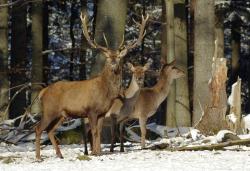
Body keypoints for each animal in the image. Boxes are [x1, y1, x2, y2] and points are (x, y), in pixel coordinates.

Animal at [35, 13, 148, 160]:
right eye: (107, 57)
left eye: (118, 57)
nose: (113, 63)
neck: (105, 91)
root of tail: (43, 91)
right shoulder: (91, 110)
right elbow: (94, 131)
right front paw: (95, 152)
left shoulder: (102, 112)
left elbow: (98, 131)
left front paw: (98, 151)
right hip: (49, 109)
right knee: (38, 128)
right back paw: (38, 157)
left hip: (62, 114)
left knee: (49, 130)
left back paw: (60, 155)